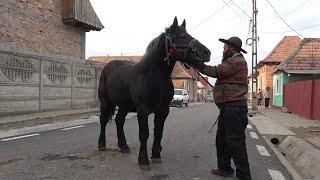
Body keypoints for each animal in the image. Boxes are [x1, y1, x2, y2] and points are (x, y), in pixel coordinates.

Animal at [99, 17, 211, 170]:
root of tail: (108, 67)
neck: (152, 77)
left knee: (119, 120)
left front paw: (156, 154)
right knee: (103, 120)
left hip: (124, 106)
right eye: (181, 35)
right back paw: (102, 145)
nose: (206, 53)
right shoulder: (143, 110)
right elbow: (144, 134)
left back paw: (124, 146)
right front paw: (143, 159)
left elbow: (158, 131)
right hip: (105, 102)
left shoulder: (163, 110)